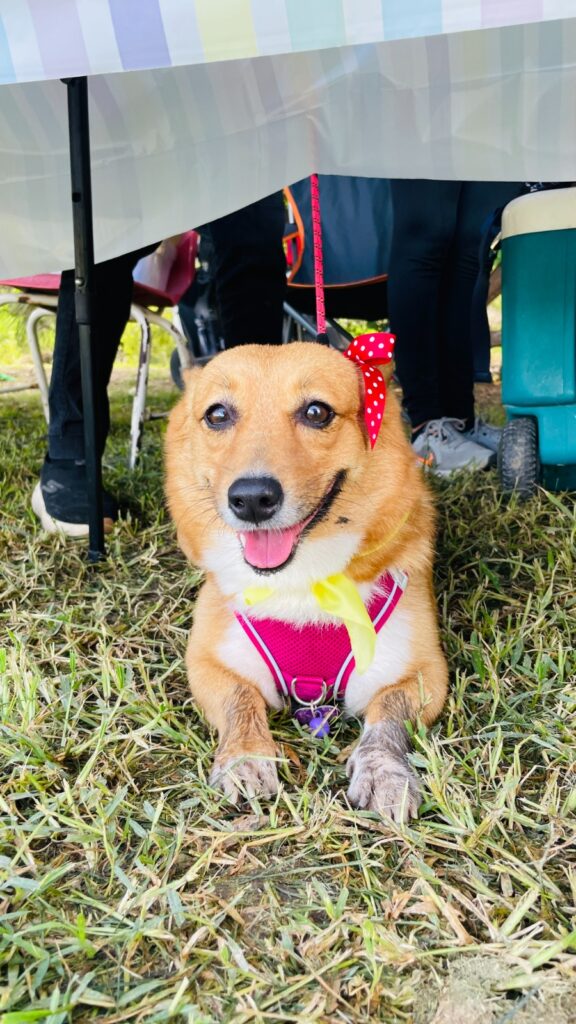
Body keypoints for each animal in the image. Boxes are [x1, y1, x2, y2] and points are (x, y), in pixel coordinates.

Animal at [165, 340, 448, 820]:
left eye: (316, 412)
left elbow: (387, 716)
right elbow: (240, 701)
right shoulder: (209, 664)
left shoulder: (423, 673)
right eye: (217, 415)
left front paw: (384, 772)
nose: (252, 499)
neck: (299, 581)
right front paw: (245, 756)